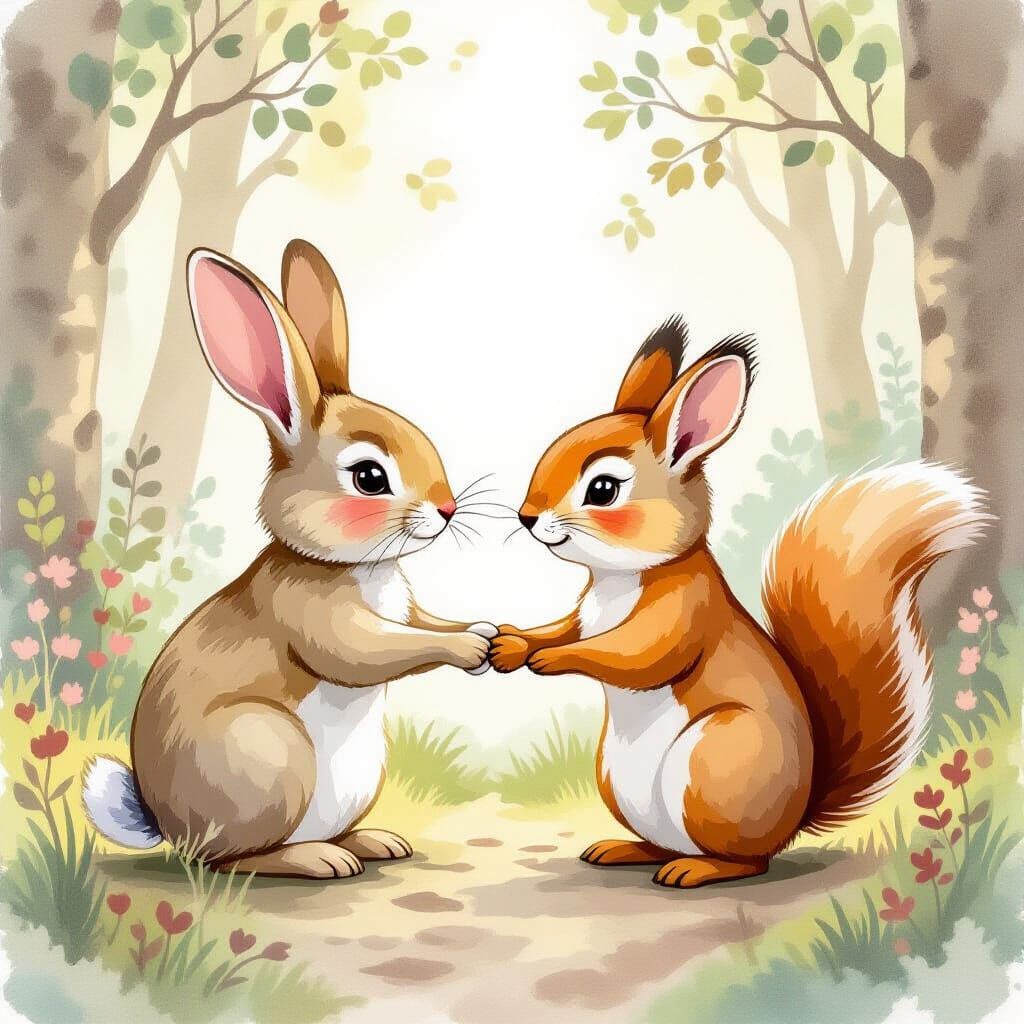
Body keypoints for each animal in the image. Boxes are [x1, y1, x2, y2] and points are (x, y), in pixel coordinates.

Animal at [83, 240, 496, 879]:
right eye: (369, 477)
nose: (448, 509)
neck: (350, 564)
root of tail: (164, 824)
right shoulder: (316, 617)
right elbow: (374, 650)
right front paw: (469, 649)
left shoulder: (403, 608)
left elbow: (424, 622)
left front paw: (484, 630)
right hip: (267, 754)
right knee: (230, 860)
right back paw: (318, 860)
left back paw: (373, 843)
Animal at [491, 317, 987, 888]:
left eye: (603, 489)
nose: (526, 517)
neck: (620, 579)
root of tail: (795, 819)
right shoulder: (586, 613)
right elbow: (563, 627)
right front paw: (514, 642)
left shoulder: (686, 613)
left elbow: (635, 656)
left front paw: (549, 659)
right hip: (617, 781)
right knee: (663, 844)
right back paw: (627, 850)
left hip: (718, 764)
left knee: (748, 860)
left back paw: (696, 870)